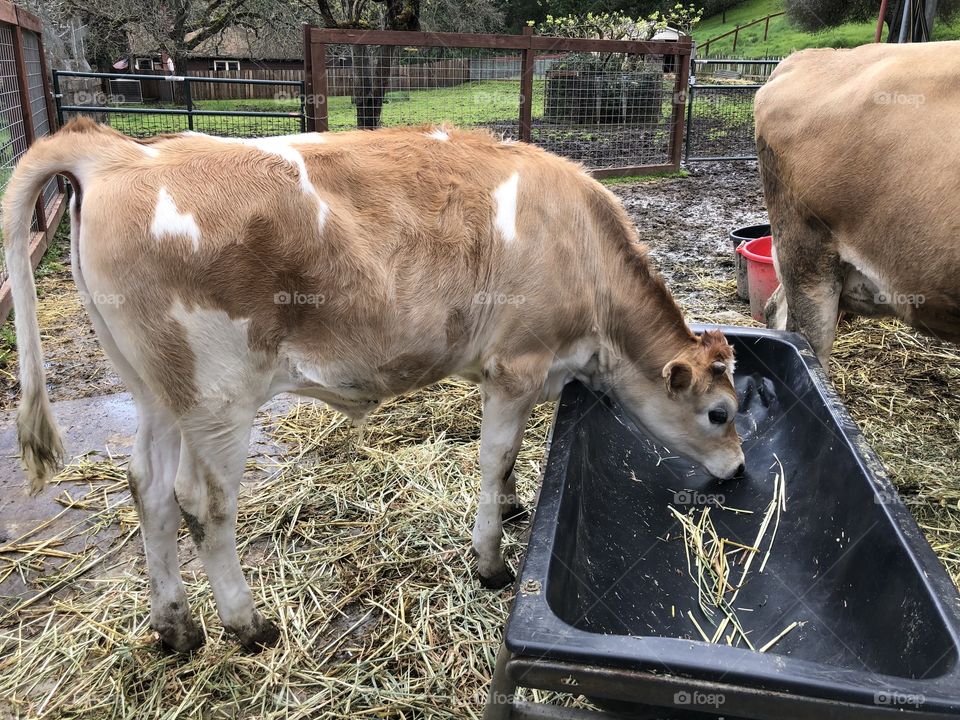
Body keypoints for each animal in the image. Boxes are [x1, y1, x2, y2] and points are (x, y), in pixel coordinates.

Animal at [3, 119, 744, 652]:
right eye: (718, 412)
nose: (739, 468)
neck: (578, 247)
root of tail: (125, 153)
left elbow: (509, 461)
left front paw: (511, 507)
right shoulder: (517, 364)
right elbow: (495, 456)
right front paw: (490, 562)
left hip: (156, 390)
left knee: (150, 491)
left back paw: (176, 629)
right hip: (217, 399)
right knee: (203, 503)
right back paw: (248, 626)